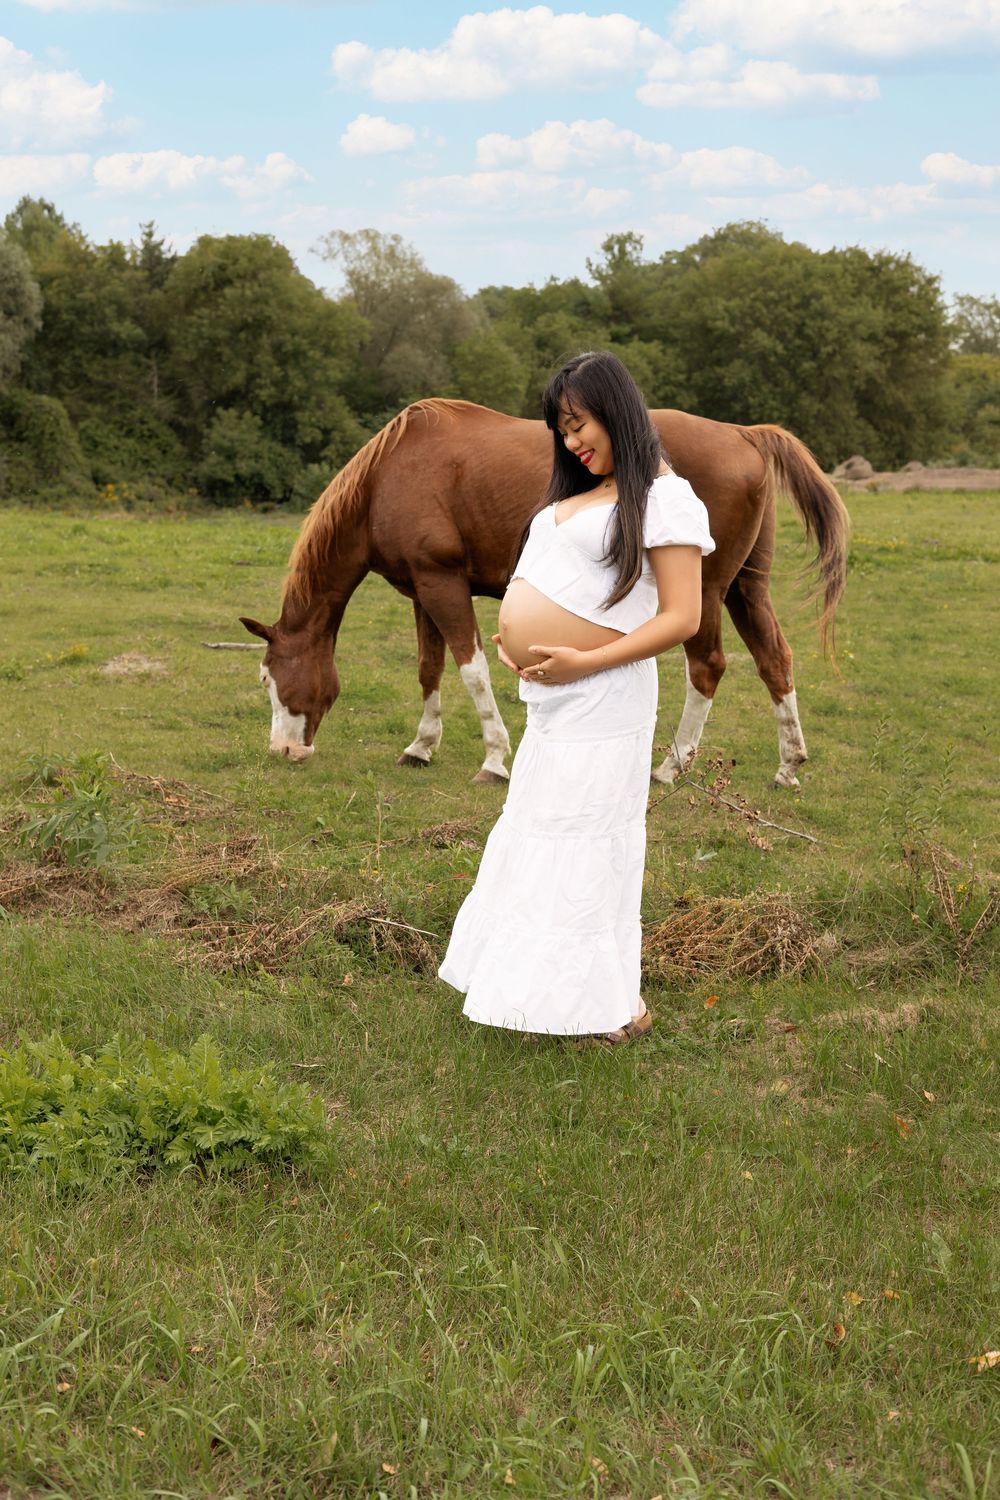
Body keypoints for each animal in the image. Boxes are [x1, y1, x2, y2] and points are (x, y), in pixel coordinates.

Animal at [239, 399, 849, 788]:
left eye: (270, 679)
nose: (283, 750)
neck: (390, 476)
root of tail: (744, 434)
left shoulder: (443, 584)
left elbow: (471, 670)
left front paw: (494, 759)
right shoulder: (421, 590)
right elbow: (428, 669)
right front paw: (421, 746)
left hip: (705, 592)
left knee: (707, 667)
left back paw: (672, 766)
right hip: (748, 588)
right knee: (775, 661)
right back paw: (788, 764)